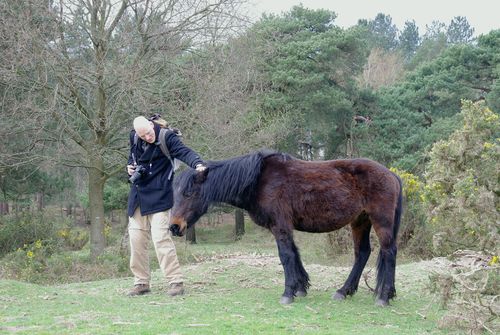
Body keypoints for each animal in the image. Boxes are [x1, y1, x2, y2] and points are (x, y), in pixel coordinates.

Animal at [171, 151, 402, 306]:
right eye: (175, 193)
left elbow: (286, 256)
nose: (174, 227)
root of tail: (391, 174)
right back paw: (344, 291)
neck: (259, 180)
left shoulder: (279, 226)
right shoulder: (285, 227)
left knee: (389, 252)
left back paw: (383, 296)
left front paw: (288, 293)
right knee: (362, 253)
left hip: (380, 221)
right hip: (360, 222)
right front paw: (300, 287)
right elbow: (294, 253)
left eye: (189, 193)